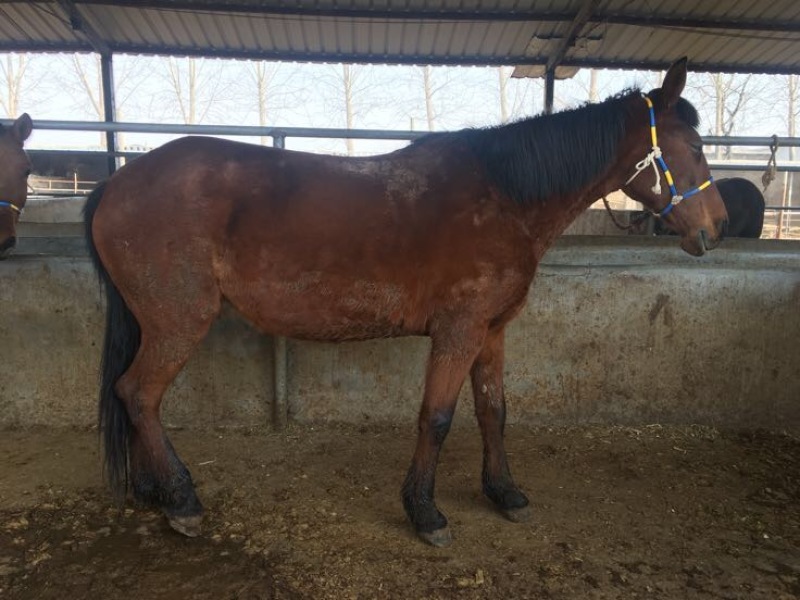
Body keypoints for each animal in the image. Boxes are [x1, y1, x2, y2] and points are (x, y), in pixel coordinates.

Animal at [84, 58, 727, 547]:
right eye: (695, 145)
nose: (717, 227)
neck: (505, 197)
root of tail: (117, 183)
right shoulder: (458, 331)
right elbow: (436, 418)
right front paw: (424, 512)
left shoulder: (492, 331)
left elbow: (493, 412)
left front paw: (505, 493)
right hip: (179, 321)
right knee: (139, 394)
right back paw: (182, 500)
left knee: (134, 397)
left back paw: (153, 492)